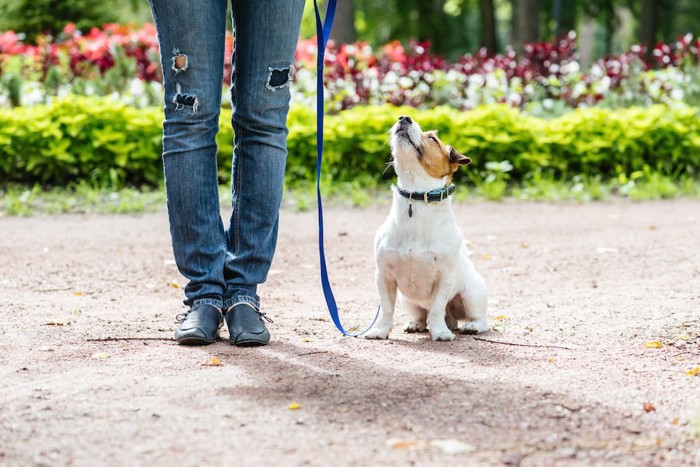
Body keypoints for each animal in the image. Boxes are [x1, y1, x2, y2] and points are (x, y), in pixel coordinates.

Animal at [364, 115, 490, 342]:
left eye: (432, 138)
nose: (404, 117)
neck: (416, 196)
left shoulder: (444, 278)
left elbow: (438, 308)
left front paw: (439, 332)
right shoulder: (384, 276)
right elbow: (387, 309)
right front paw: (381, 330)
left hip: (471, 295)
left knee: (479, 319)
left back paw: (471, 326)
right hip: (408, 300)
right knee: (423, 315)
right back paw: (417, 323)